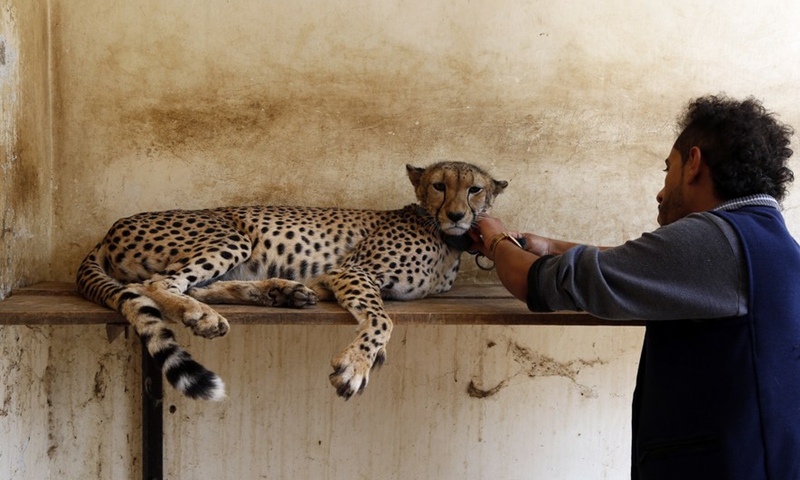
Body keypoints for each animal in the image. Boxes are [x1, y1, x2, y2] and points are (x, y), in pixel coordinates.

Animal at [76, 161, 507, 401]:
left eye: (474, 189)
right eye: (439, 185)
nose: (456, 214)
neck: (444, 238)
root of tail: (112, 226)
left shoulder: (336, 278)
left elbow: (379, 314)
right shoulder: (351, 271)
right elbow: (383, 319)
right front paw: (357, 364)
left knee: (188, 285)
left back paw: (278, 293)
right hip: (232, 237)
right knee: (157, 284)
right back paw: (205, 315)